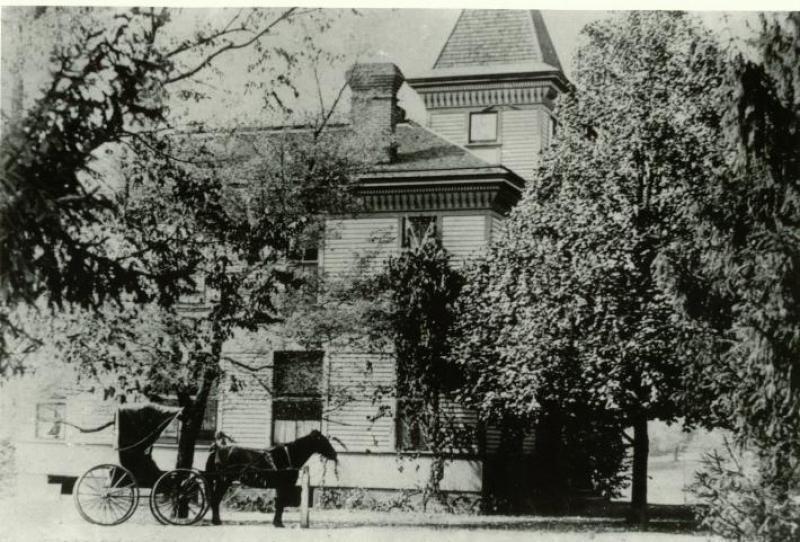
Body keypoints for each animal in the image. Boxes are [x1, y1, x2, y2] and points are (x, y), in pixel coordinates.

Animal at [203, 432, 338, 528]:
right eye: (324, 441)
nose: (334, 454)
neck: (288, 456)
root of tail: (217, 451)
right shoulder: (283, 486)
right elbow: (281, 503)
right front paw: (279, 523)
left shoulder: (280, 486)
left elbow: (279, 504)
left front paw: (276, 522)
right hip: (223, 481)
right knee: (215, 500)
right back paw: (216, 521)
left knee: (215, 500)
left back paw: (216, 521)